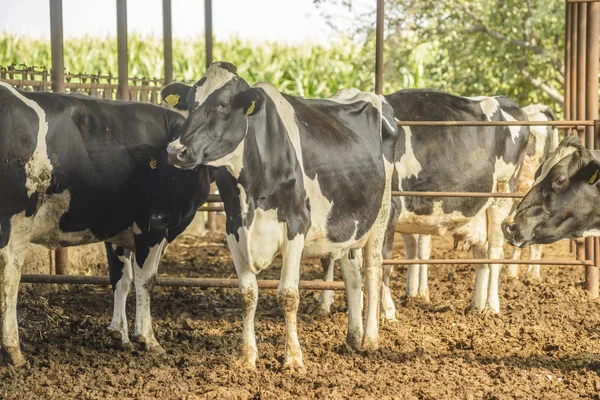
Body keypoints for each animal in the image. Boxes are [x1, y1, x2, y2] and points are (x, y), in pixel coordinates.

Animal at [0, 83, 211, 366]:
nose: (160, 215)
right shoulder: (153, 230)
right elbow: (146, 279)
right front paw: (147, 338)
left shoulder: (117, 229)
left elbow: (121, 279)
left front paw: (120, 335)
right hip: (17, 218)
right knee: (9, 277)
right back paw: (13, 350)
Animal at [164, 62, 398, 372]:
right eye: (190, 104)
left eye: (223, 104)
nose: (175, 150)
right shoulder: (233, 228)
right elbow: (247, 294)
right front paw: (247, 357)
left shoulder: (296, 226)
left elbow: (288, 295)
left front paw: (294, 359)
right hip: (349, 224)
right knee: (353, 274)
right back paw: (353, 336)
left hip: (380, 216)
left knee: (373, 270)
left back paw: (370, 340)